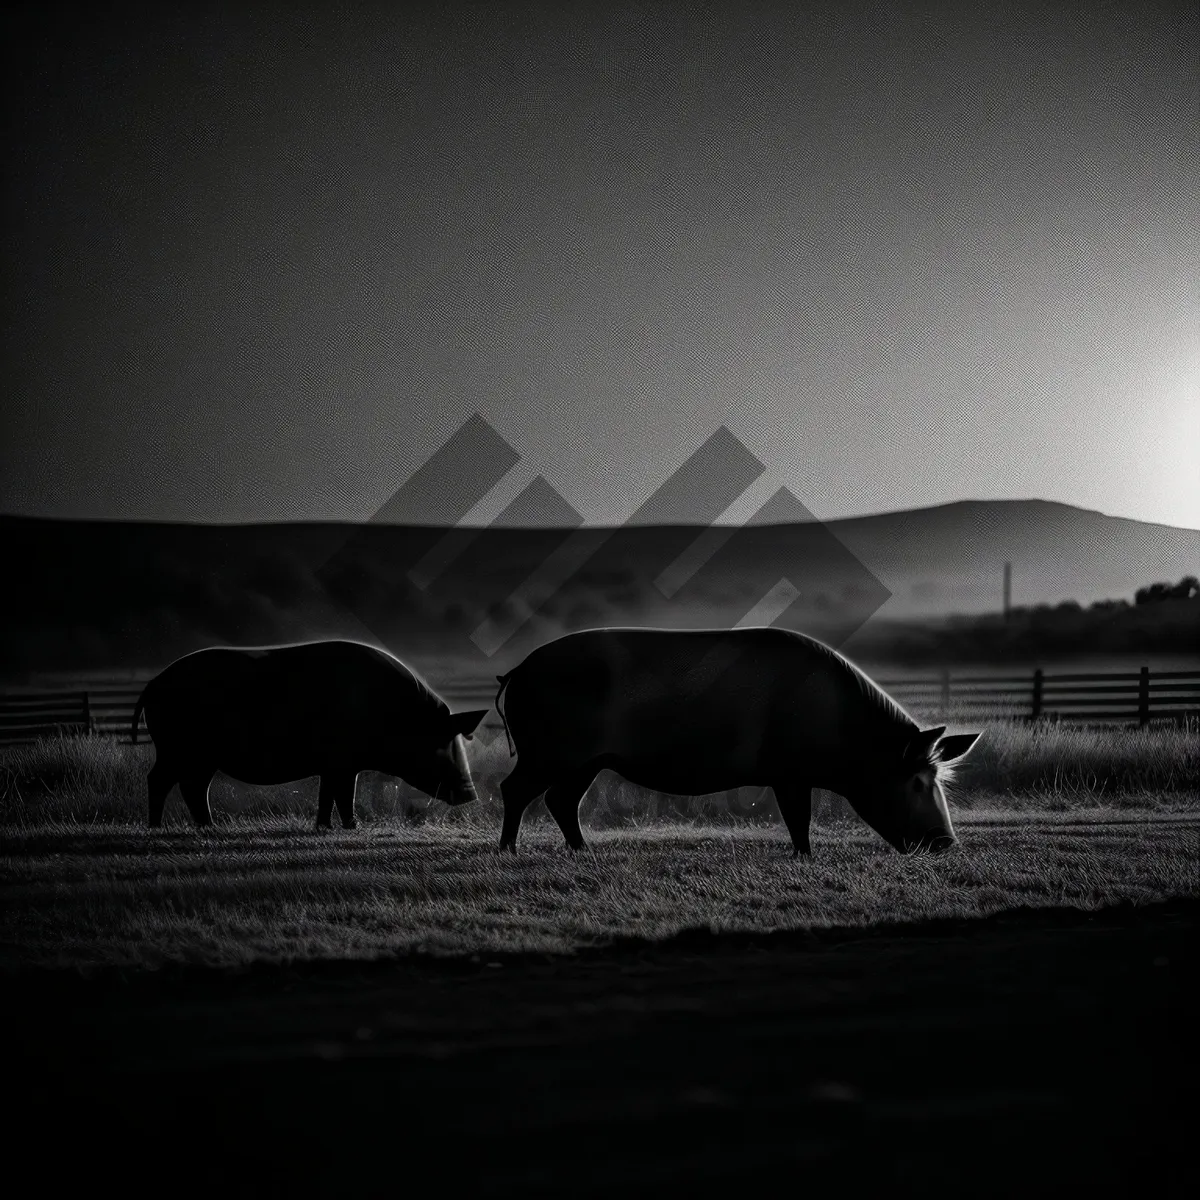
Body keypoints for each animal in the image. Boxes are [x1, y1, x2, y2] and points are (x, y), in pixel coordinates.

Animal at [131, 643, 487, 830]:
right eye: (443, 742)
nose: (471, 795)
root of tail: (153, 684)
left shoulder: (334, 765)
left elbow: (328, 794)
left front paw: (325, 827)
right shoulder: (343, 762)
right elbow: (343, 794)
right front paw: (353, 827)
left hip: (198, 756)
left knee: (190, 786)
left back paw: (208, 827)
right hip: (179, 749)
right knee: (160, 780)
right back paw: (159, 827)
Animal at [492, 624, 979, 859]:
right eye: (916, 782)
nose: (947, 843)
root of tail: (516, 672)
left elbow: (797, 817)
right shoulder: (789, 771)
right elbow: (798, 817)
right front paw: (805, 857)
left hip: (586, 761)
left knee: (559, 799)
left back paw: (583, 851)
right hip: (547, 752)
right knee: (513, 789)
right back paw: (509, 852)